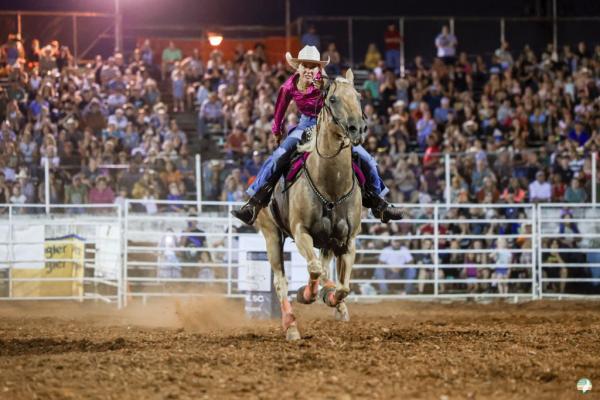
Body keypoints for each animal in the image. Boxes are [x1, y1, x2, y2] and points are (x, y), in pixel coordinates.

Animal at [255, 69, 364, 340]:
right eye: (333, 99)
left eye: (358, 97)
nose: (357, 129)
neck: (331, 185)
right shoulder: (301, 232)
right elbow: (314, 270)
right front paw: (307, 294)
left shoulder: (347, 240)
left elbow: (343, 287)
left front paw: (333, 299)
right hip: (271, 234)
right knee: (281, 281)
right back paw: (291, 326)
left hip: (328, 241)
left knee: (325, 269)